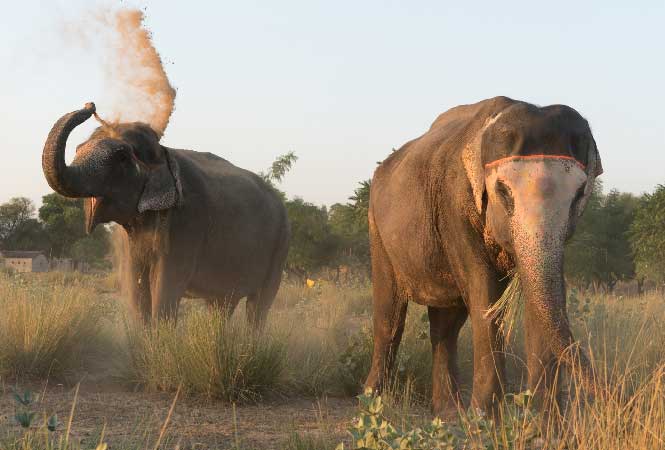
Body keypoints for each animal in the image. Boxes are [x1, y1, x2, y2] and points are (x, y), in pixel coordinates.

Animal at [41, 103, 290, 326]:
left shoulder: (187, 223)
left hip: (280, 245)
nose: (90, 105)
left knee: (259, 306)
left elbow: (165, 286)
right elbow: (135, 287)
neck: (163, 152)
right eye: (78, 149)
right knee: (222, 304)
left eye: (122, 157)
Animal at [364, 96, 600, 416]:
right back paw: (370, 401)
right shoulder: (454, 206)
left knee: (446, 325)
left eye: (578, 194)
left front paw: (546, 422)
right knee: (390, 317)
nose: (609, 394)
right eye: (503, 191)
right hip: (378, 230)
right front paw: (484, 419)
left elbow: (542, 300)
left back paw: (448, 413)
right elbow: (484, 294)